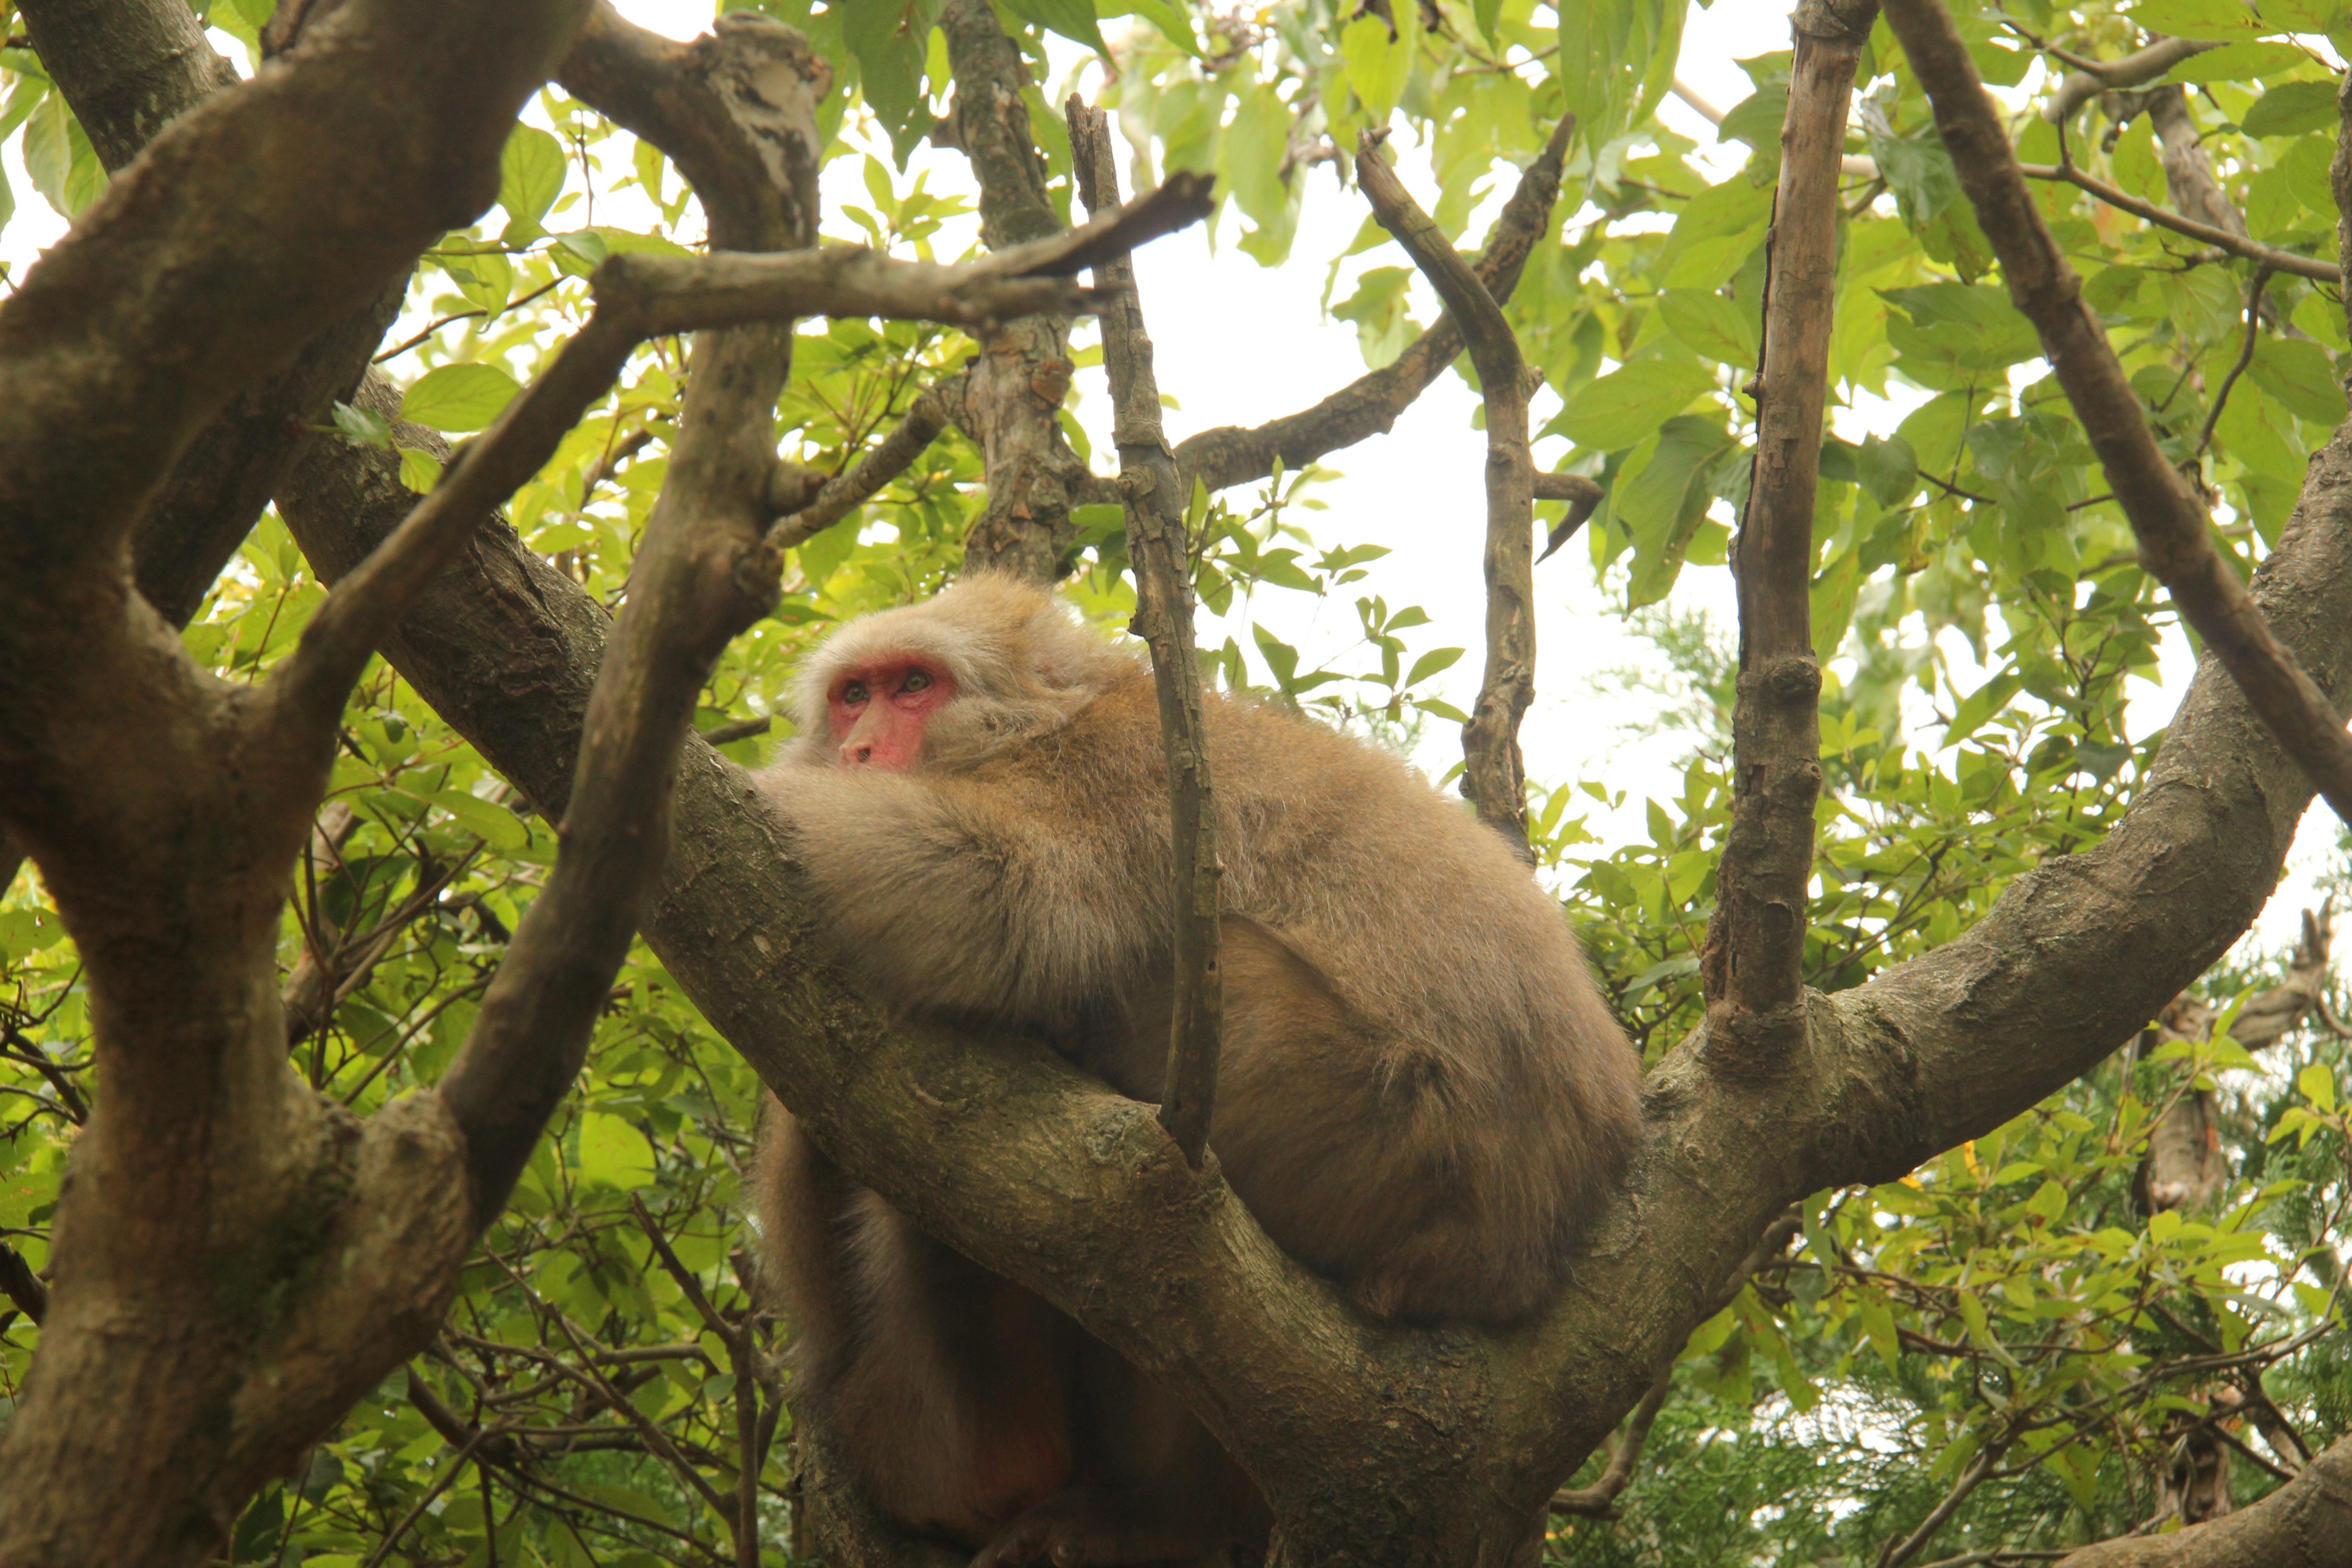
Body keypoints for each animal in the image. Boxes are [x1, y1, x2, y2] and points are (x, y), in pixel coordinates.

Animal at [748, 576, 1637, 1568]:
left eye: (913, 685)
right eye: (851, 696)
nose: (860, 749)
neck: (1050, 722)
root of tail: (1529, 1244)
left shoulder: (1113, 777)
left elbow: (1002, 895)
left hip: (1363, 1128)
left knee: (1164, 969)